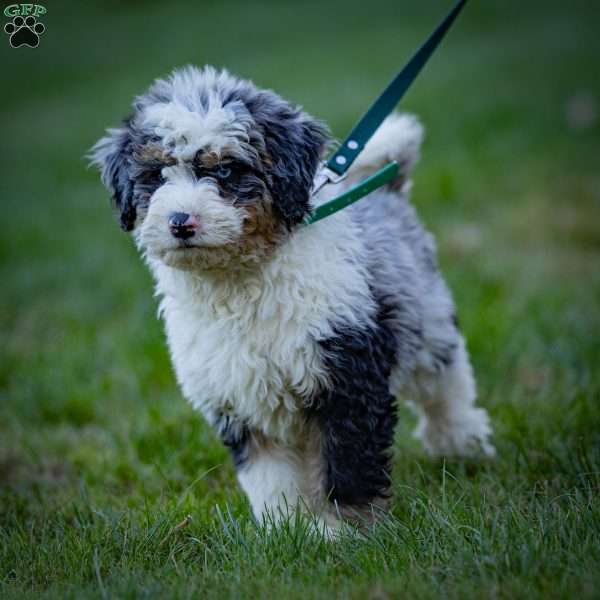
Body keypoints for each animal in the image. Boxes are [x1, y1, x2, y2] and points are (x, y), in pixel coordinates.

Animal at [91, 64, 494, 536]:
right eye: (155, 176)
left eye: (225, 172)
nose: (180, 222)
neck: (240, 283)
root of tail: (385, 189)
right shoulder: (239, 395)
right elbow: (270, 476)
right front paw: (285, 530)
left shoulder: (346, 372)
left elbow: (348, 464)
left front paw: (344, 531)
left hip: (425, 315)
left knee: (446, 380)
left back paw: (461, 442)